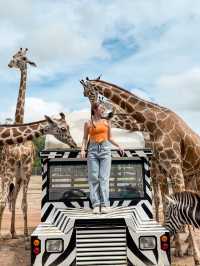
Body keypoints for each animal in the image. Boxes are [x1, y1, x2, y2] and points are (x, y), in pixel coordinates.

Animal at [80, 77, 200, 264]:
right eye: (86, 95)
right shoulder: (162, 168)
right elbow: (165, 202)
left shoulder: (173, 166)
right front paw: (177, 246)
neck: (152, 123)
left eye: (90, 93)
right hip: (190, 174)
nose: (94, 114)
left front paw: (194, 255)